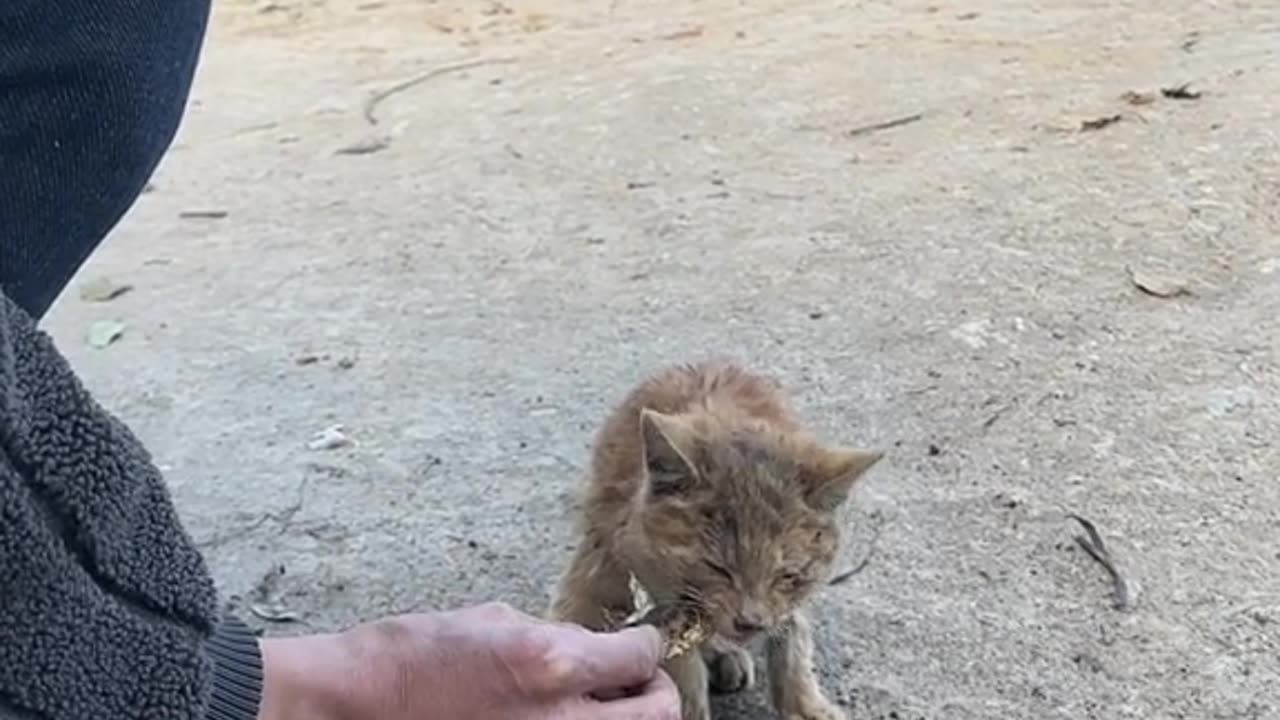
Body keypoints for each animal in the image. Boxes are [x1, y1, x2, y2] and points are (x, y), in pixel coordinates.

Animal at [545, 361, 885, 717]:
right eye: (717, 568)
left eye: (788, 575)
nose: (750, 623)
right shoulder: (662, 600)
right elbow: (684, 674)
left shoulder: (788, 601)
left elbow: (793, 633)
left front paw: (803, 703)